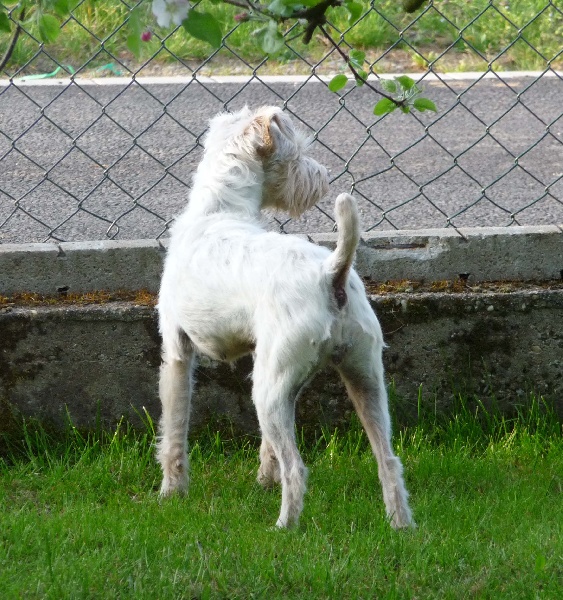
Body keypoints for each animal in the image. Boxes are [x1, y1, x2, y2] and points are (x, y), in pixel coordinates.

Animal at [156, 105, 412, 528]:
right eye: (297, 152)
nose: (324, 177)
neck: (218, 210)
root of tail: (330, 272)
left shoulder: (177, 352)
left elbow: (174, 429)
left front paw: (171, 492)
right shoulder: (259, 353)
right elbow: (266, 445)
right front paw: (264, 476)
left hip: (269, 392)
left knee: (298, 469)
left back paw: (284, 527)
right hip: (362, 379)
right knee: (388, 460)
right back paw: (401, 526)